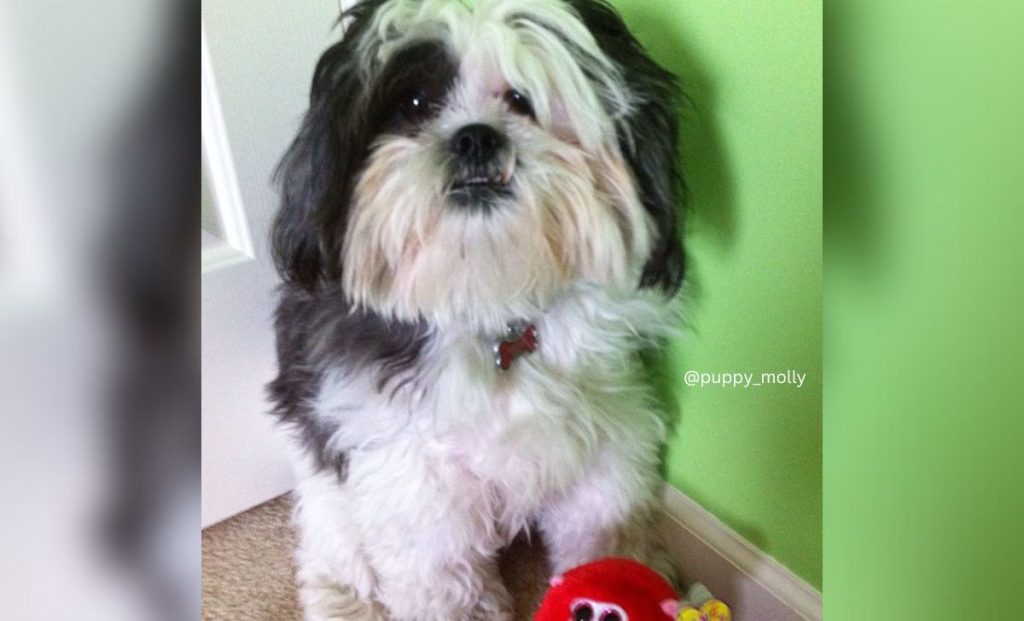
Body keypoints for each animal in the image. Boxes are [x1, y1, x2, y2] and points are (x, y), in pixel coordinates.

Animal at [270, 1, 688, 618]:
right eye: (414, 105)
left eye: (522, 99)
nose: (475, 137)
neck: (493, 300)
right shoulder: (411, 472)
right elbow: (439, 569)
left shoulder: (609, 432)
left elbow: (605, 527)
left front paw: (629, 572)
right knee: (331, 533)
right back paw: (344, 595)